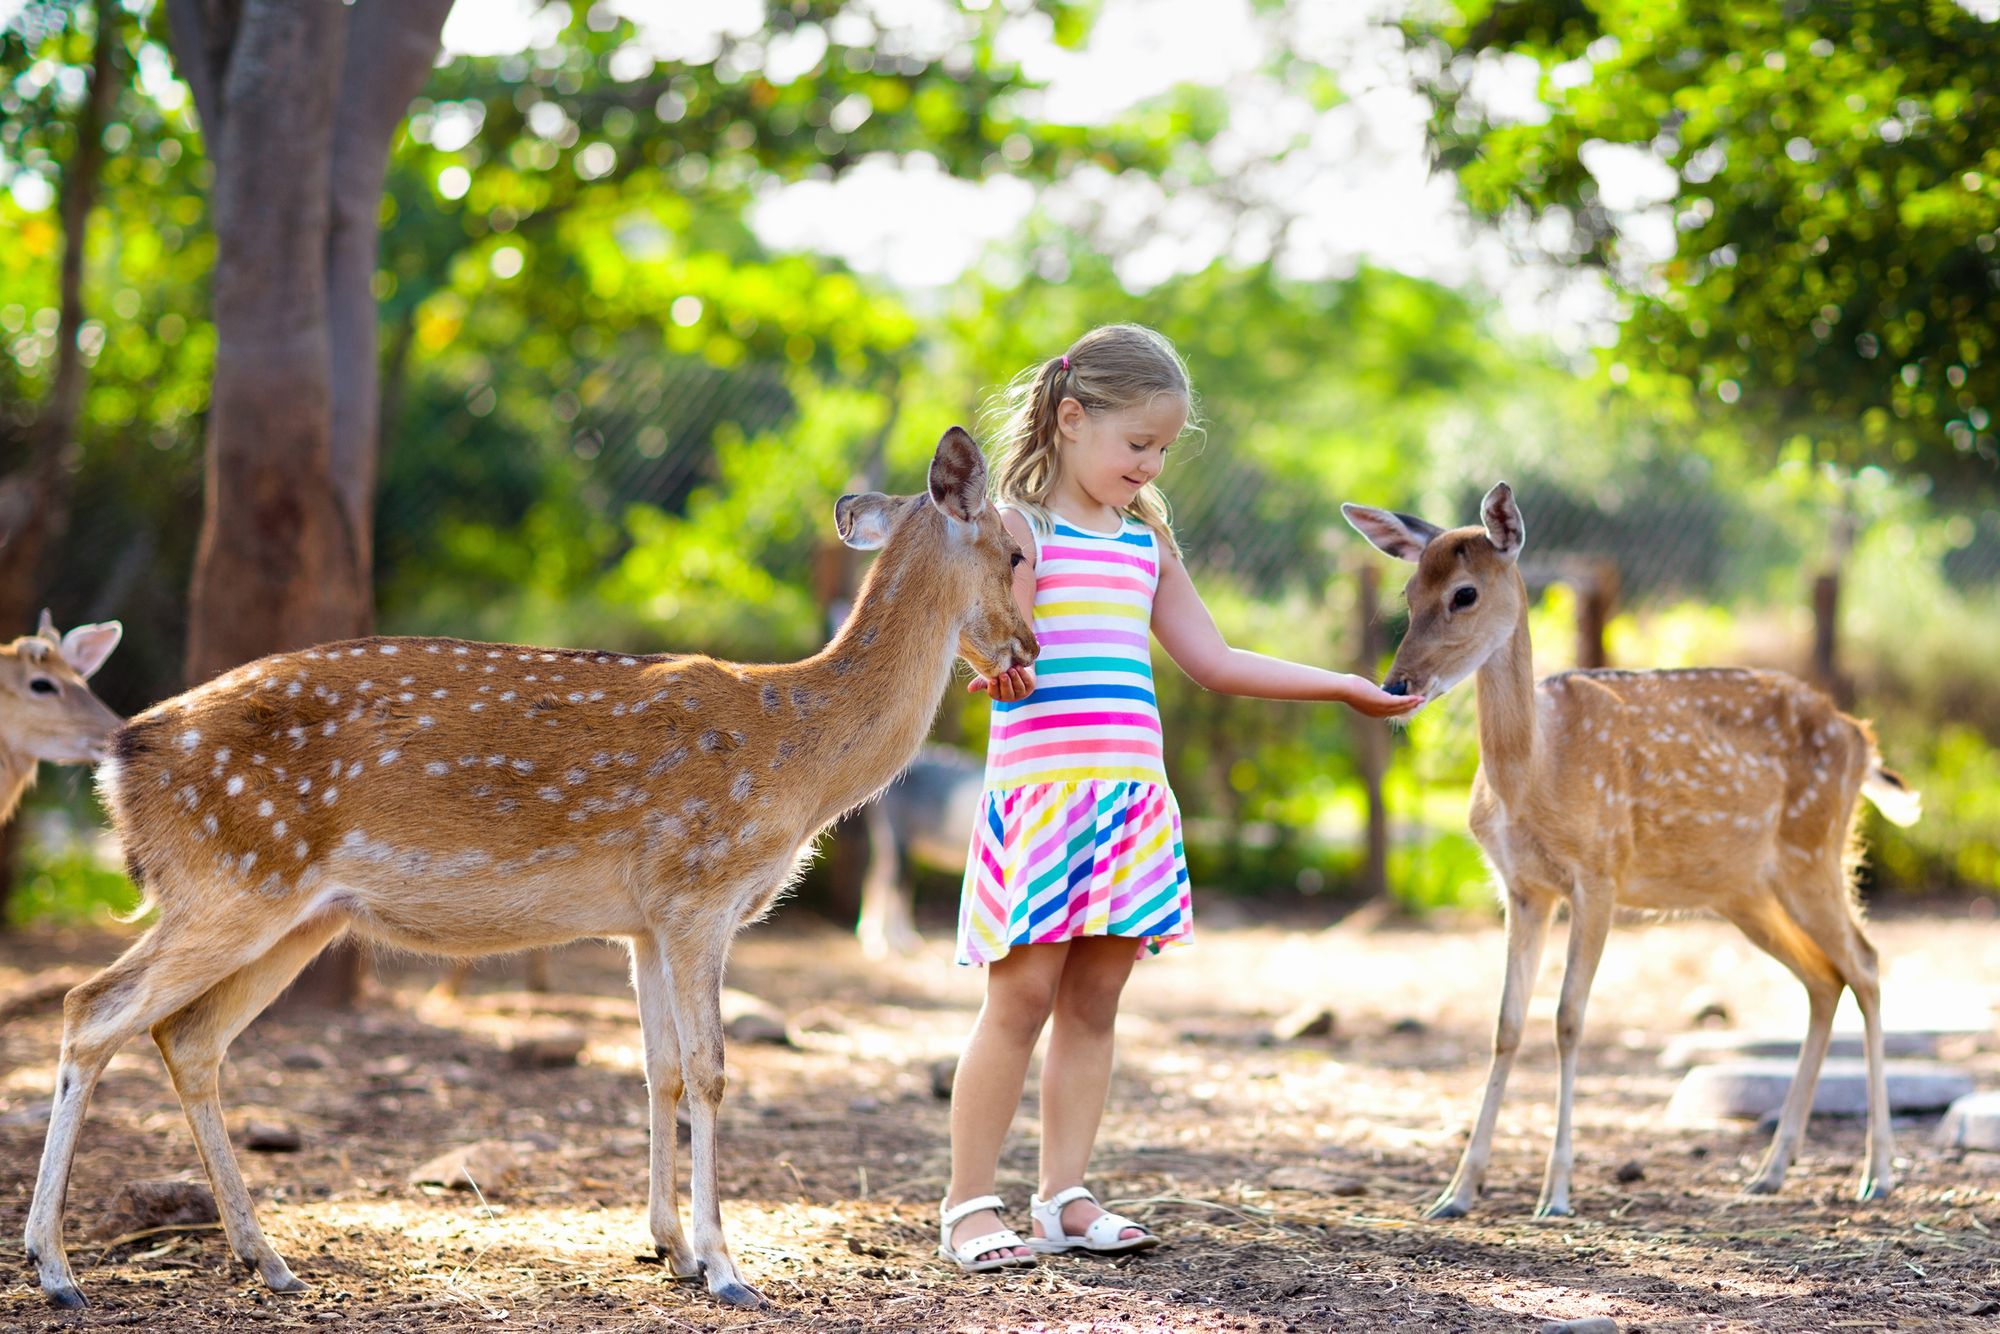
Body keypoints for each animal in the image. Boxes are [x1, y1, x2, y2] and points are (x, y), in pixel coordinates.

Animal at [27, 430, 1032, 1312]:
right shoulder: (699, 889)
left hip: (294, 913)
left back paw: (266, 1260)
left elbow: (659, 1069)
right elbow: (711, 1070)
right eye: (1020, 550)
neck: (797, 756)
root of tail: (121, 758)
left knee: (188, 1036)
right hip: (230, 882)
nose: (1024, 649)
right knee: (91, 1010)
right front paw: (727, 1268)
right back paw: (58, 1270)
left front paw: (670, 1249)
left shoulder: (644, 920)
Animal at [1344, 488, 1920, 1224]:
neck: (1536, 771)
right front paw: (1457, 1191)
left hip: (1812, 852)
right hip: (1745, 889)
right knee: (1824, 978)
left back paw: (1879, 1172)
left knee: (1867, 964)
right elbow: (1506, 1024)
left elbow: (1568, 1018)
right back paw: (1770, 1171)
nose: (1395, 686)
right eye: (1409, 591)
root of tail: (1862, 740)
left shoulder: (1599, 873)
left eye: (1464, 593)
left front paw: (1556, 1194)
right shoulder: (1523, 888)